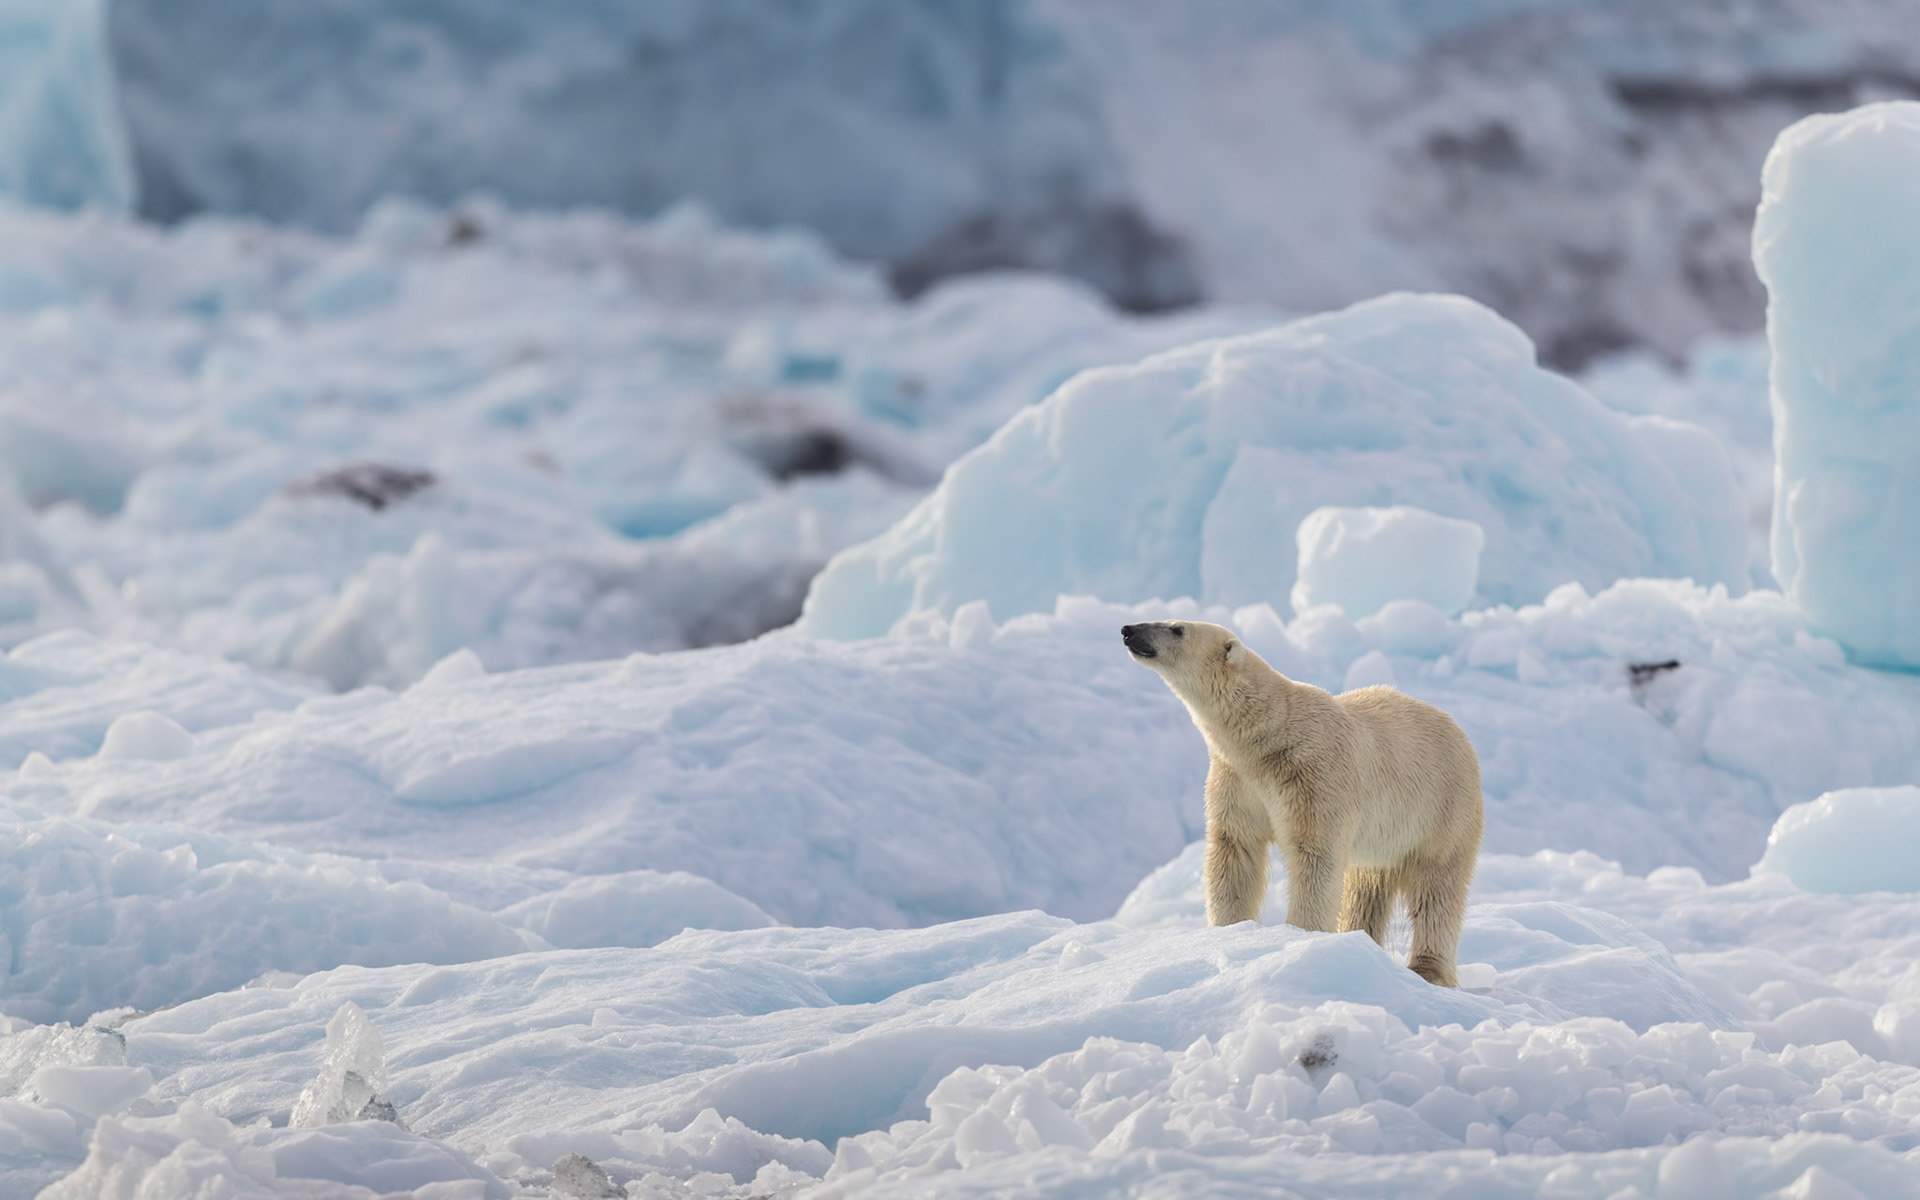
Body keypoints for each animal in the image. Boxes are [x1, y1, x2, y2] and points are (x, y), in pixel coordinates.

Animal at [1122, 619, 1482, 986]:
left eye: (1177, 629)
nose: (1128, 630)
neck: (1271, 734)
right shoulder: (1238, 781)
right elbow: (1235, 850)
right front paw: (1228, 931)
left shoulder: (1312, 777)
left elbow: (1314, 856)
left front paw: (1301, 937)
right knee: (1366, 885)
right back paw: (1359, 939)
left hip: (1443, 810)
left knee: (1436, 888)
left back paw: (1427, 969)